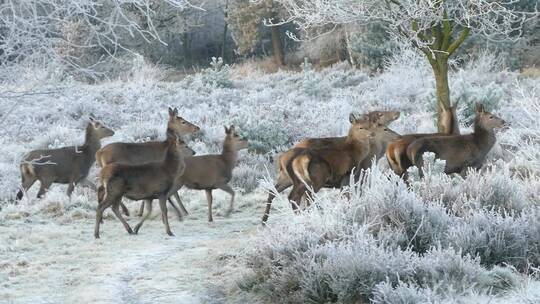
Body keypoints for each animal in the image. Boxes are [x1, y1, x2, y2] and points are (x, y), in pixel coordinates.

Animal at [262, 110, 400, 224]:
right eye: (380, 115)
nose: (397, 113)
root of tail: (283, 158)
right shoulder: (349, 175)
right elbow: (350, 195)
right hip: (314, 180)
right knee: (302, 197)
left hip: (288, 178)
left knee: (275, 192)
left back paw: (265, 220)